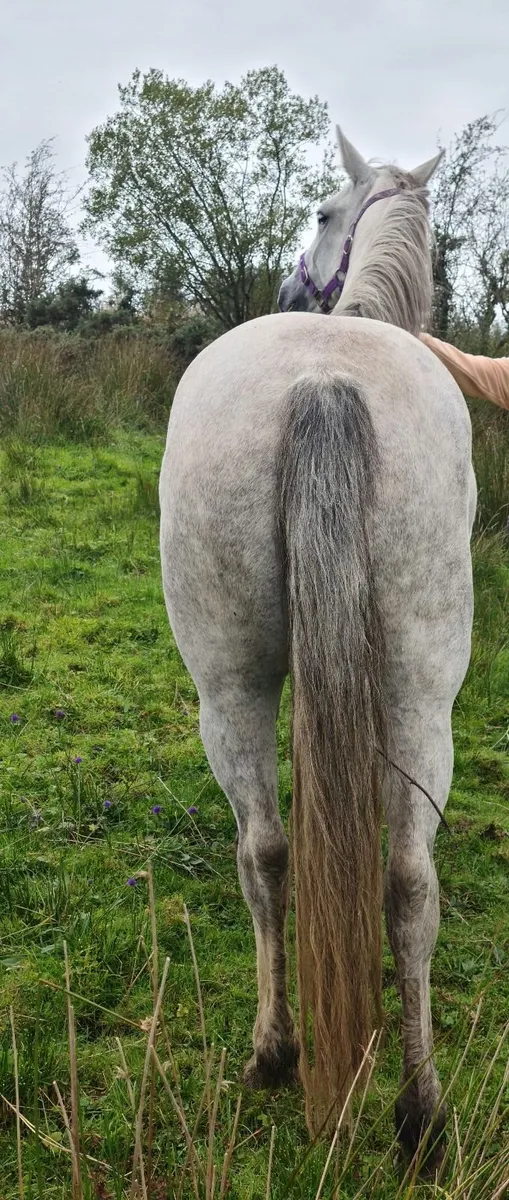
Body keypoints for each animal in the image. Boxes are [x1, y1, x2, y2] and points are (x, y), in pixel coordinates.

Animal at [159, 126, 476, 1160]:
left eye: (320, 210)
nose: (292, 286)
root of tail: (323, 376)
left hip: (228, 689)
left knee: (264, 852)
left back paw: (278, 1056)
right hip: (417, 694)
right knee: (405, 880)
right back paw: (418, 1113)